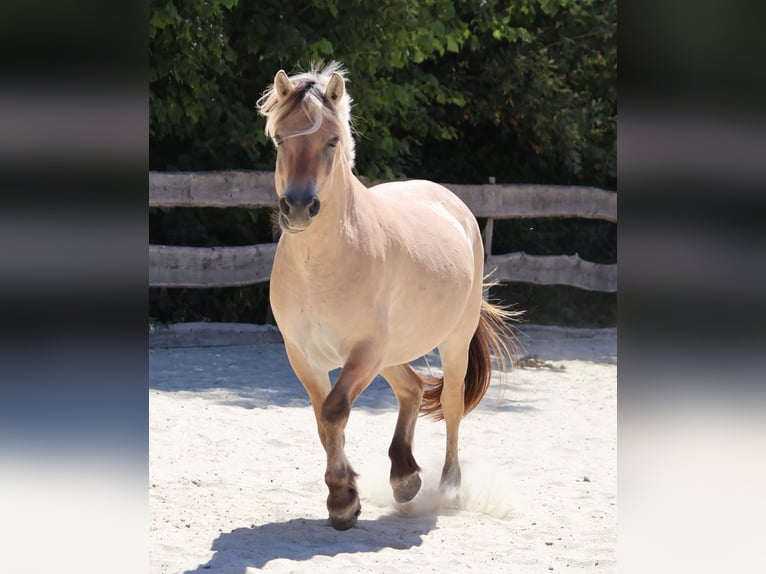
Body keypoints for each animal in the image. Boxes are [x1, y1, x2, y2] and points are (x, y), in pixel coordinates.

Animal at [257, 62, 516, 530]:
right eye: (280, 138)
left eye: (332, 140)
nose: (299, 207)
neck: (320, 265)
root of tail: (453, 204)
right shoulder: (303, 355)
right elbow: (323, 420)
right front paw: (346, 495)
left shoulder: (363, 351)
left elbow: (335, 411)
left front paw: (343, 501)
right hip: (392, 353)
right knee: (412, 388)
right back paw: (404, 477)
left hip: (449, 342)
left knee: (450, 403)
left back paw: (447, 486)